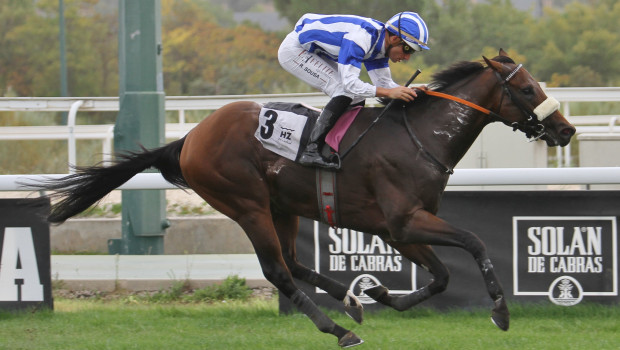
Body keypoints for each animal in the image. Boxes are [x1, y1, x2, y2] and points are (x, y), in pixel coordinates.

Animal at [31, 50, 576, 348]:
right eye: (529, 89)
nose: (567, 130)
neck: (419, 136)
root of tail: (189, 138)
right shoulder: (405, 221)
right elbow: (476, 243)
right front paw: (501, 311)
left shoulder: (398, 228)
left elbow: (441, 277)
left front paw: (382, 294)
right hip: (247, 204)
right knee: (277, 270)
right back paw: (339, 328)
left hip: (283, 207)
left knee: (293, 263)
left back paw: (352, 301)